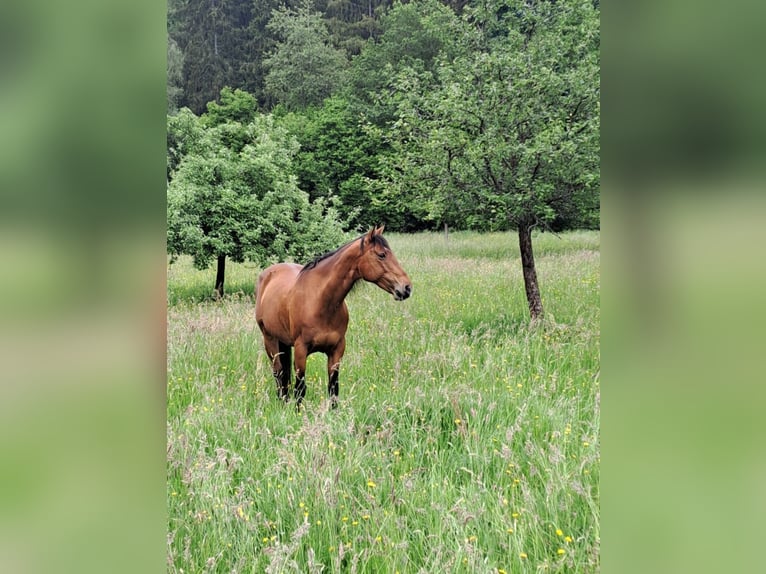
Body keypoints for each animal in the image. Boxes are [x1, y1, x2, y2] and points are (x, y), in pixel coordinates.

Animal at [254, 226, 412, 408]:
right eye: (382, 255)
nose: (407, 287)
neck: (320, 302)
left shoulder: (337, 350)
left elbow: (333, 389)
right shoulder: (301, 350)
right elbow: (300, 389)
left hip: (284, 342)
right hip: (270, 340)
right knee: (279, 373)